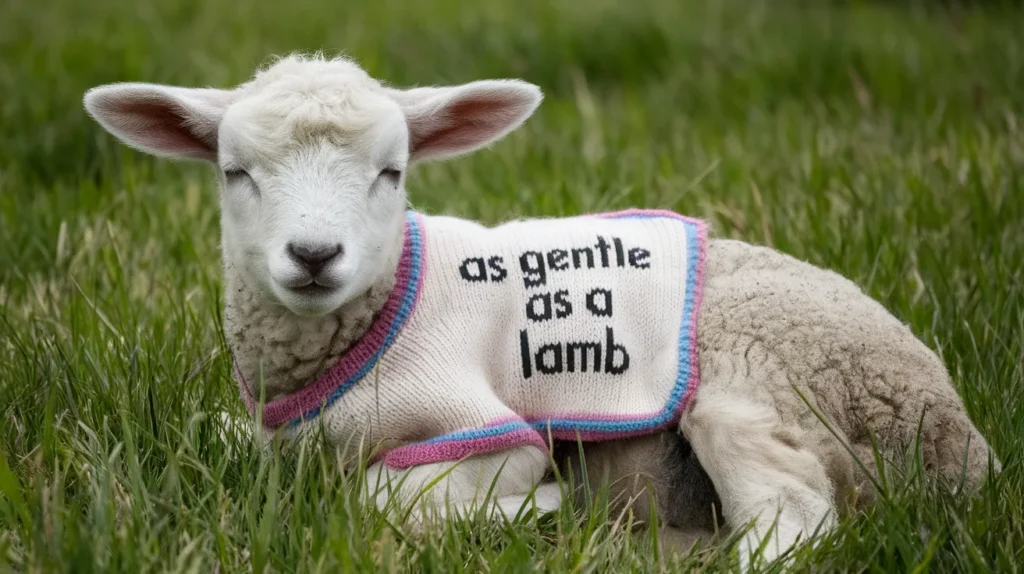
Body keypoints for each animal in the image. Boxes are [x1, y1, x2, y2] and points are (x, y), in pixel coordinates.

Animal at [83, 53, 999, 568]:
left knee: (796, 525)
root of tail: (960, 442)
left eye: (392, 172)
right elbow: (213, 436)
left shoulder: (486, 430)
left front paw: (536, 509)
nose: (313, 256)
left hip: (761, 373)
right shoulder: (270, 433)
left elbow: (377, 500)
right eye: (234, 171)